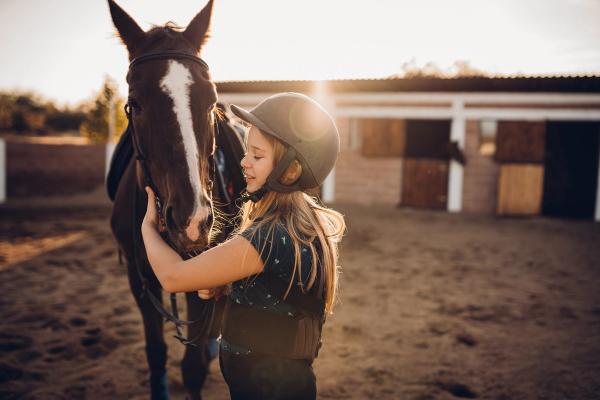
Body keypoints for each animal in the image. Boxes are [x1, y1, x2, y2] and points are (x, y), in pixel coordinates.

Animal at [106, 1, 244, 398]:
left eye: (211, 101)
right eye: (135, 103)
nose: (191, 220)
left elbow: (193, 367)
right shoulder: (139, 280)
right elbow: (156, 351)